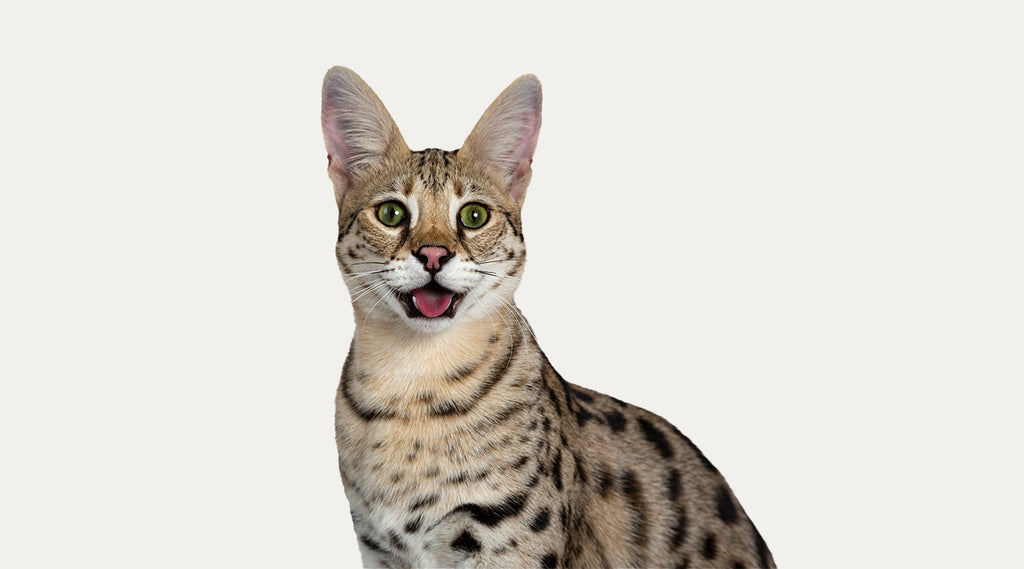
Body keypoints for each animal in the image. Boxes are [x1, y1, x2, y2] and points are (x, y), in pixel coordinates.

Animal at [321, 66, 774, 569]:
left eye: (473, 216)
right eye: (391, 213)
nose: (434, 254)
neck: (413, 381)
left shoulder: (508, 543)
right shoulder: (381, 549)